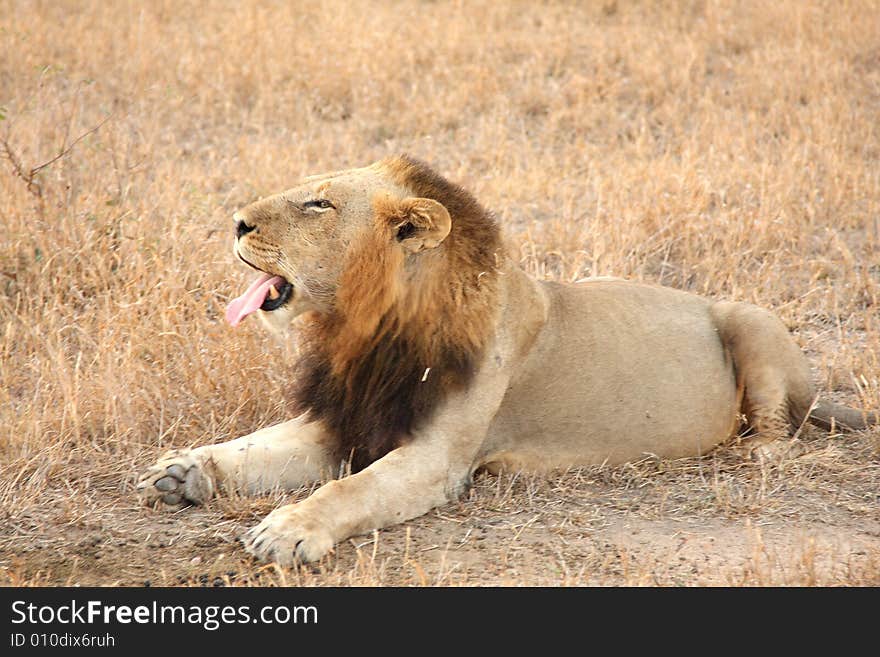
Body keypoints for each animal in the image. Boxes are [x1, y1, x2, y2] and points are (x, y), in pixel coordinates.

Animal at [134, 154, 876, 564]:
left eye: (318, 202)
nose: (234, 221)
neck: (369, 331)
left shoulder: (437, 459)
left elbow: (349, 491)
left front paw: (288, 530)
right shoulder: (344, 423)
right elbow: (254, 446)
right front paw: (185, 470)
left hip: (749, 316)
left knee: (779, 430)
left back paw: (751, 452)